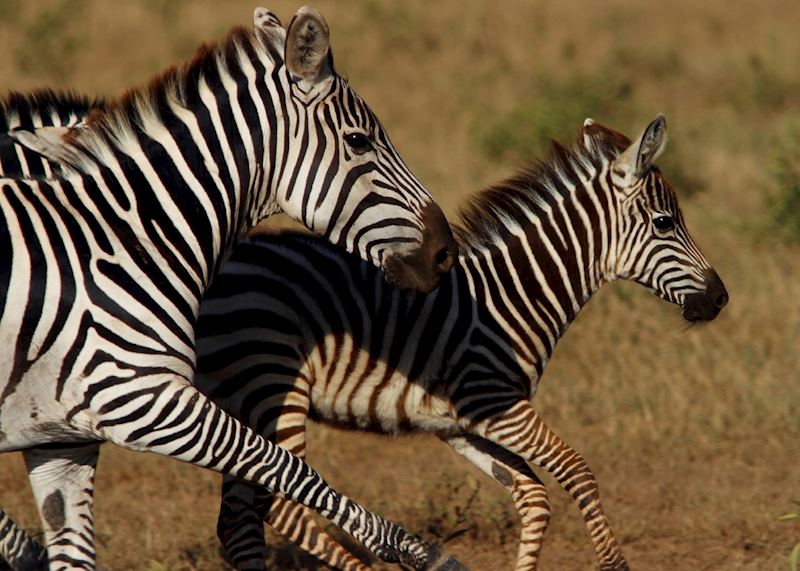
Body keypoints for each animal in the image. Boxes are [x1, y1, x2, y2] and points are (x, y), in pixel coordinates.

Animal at [0, 6, 465, 571]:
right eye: (359, 141)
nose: (444, 253)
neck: (124, 236)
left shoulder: (62, 441)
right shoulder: (142, 398)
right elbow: (280, 464)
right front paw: (419, 551)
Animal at [182, 114, 724, 570]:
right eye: (665, 223)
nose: (719, 298)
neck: (515, 294)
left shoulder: (464, 423)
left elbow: (533, 496)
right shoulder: (493, 399)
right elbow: (576, 469)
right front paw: (614, 564)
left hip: (246, 397)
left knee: (240, 520)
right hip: (270, 383)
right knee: (279, 504)